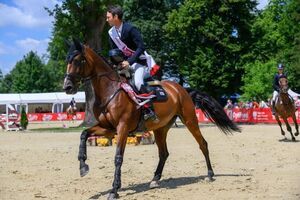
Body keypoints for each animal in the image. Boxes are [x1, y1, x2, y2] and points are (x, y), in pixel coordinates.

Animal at [63, 39, 241, 199]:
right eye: (67, 60)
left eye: (78, 61)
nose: (67, 87)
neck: (110, 91)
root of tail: (181, 89)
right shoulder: (108, 128)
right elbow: (84, 134)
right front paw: (83, 166)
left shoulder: (122, 128)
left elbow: (118, 157)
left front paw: (114, 190)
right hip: (160, 129)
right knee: (164, 153)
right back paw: (155, 179)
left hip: (190, 120)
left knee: (202, 144)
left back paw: (210, 174)